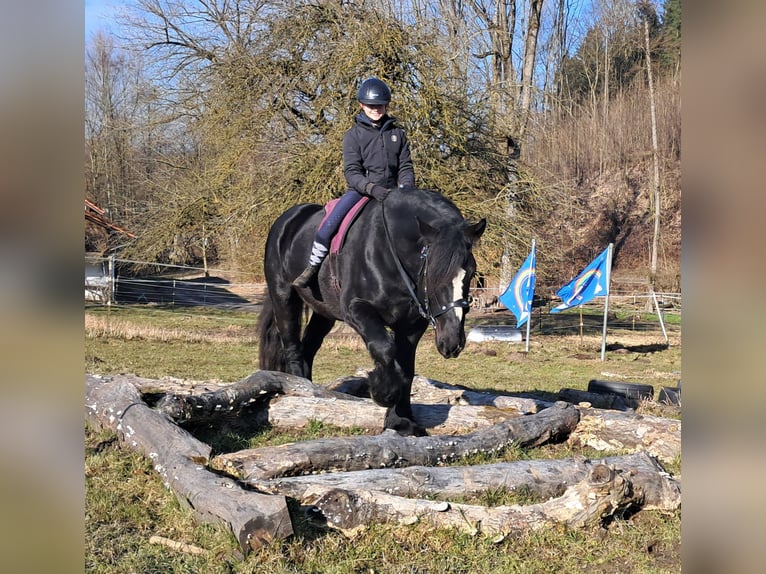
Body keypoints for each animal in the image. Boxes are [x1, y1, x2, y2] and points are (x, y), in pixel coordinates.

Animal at [258, 189, 486, 436]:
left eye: (470, 272)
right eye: (433, 273)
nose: (452, 343)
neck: (391, 252)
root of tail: (287, 220)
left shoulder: (412, 324)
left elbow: (406, 368)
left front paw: (401, 421)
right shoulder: (356, 308)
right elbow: (384, 348)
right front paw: (382, 391)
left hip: (324, 312)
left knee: (308, 347)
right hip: (284, 297)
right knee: (292, 347)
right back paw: (301, 394)